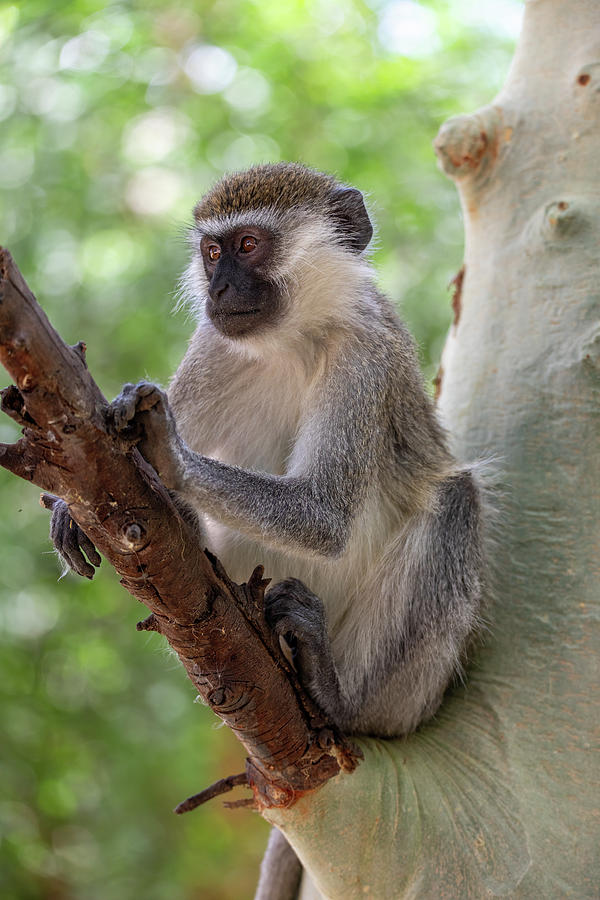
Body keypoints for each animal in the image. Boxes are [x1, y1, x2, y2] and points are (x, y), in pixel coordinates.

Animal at [49, 163, 486, 900]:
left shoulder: (366, 357)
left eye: (250, 246)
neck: (291, 339)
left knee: (457, 501)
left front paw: (169, 455)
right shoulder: (211, 347)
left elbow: (324, 516)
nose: (220, 289)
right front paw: (85, 494)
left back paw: (336, 698)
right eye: (212, 252)